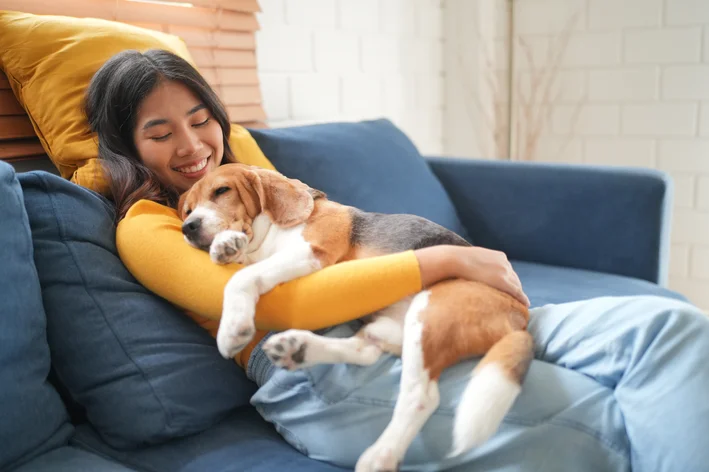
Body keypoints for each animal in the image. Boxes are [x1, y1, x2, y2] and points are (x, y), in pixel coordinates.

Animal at [177, 163, 532, 472]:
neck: (271, 232)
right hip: (390, 325)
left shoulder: (311, 253)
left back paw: (380, 456)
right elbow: (245, 264)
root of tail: (521, 319)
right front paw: (227, 246)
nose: (188, 228)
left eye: (222, 191)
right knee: (365, 351)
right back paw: (300, 349)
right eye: (187, 210)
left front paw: (232, 328)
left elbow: (244, 276)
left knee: (421, 395)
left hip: (430, 311)